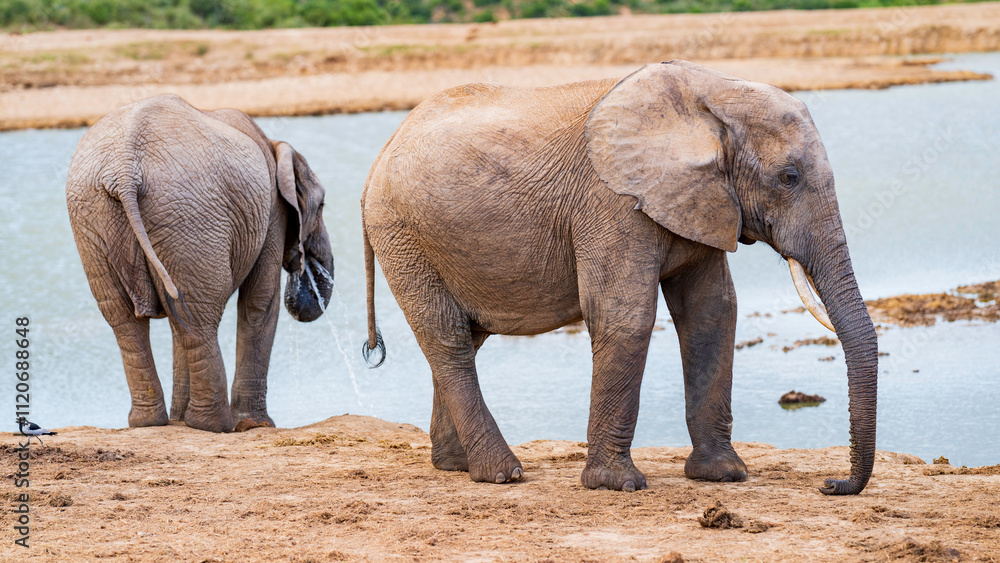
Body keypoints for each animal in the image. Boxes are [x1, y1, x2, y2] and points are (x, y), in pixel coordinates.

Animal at [66, 94, 333, 433]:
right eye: (322, 206)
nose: (302, 288)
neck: (274, 145)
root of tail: (125, 168)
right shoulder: (271, 211)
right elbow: (259, 302)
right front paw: (257, 425)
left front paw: (182, 421)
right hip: (184, 216)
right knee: (196, 316)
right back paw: (215, 425)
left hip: (96, 219)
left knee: (140, 318)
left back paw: (151, 423)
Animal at [361, 60, 878, 494]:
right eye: (789, 177)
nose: (829, 485)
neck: (713, 93)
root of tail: (377, 159)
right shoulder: (611, 203)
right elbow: (625, 316)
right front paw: (618, 485)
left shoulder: (701, 200)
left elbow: (712, 313)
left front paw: (723, 476)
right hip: (402, 235)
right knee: (447, 338)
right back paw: (502, 474)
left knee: (467, 338)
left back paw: (455, 466)